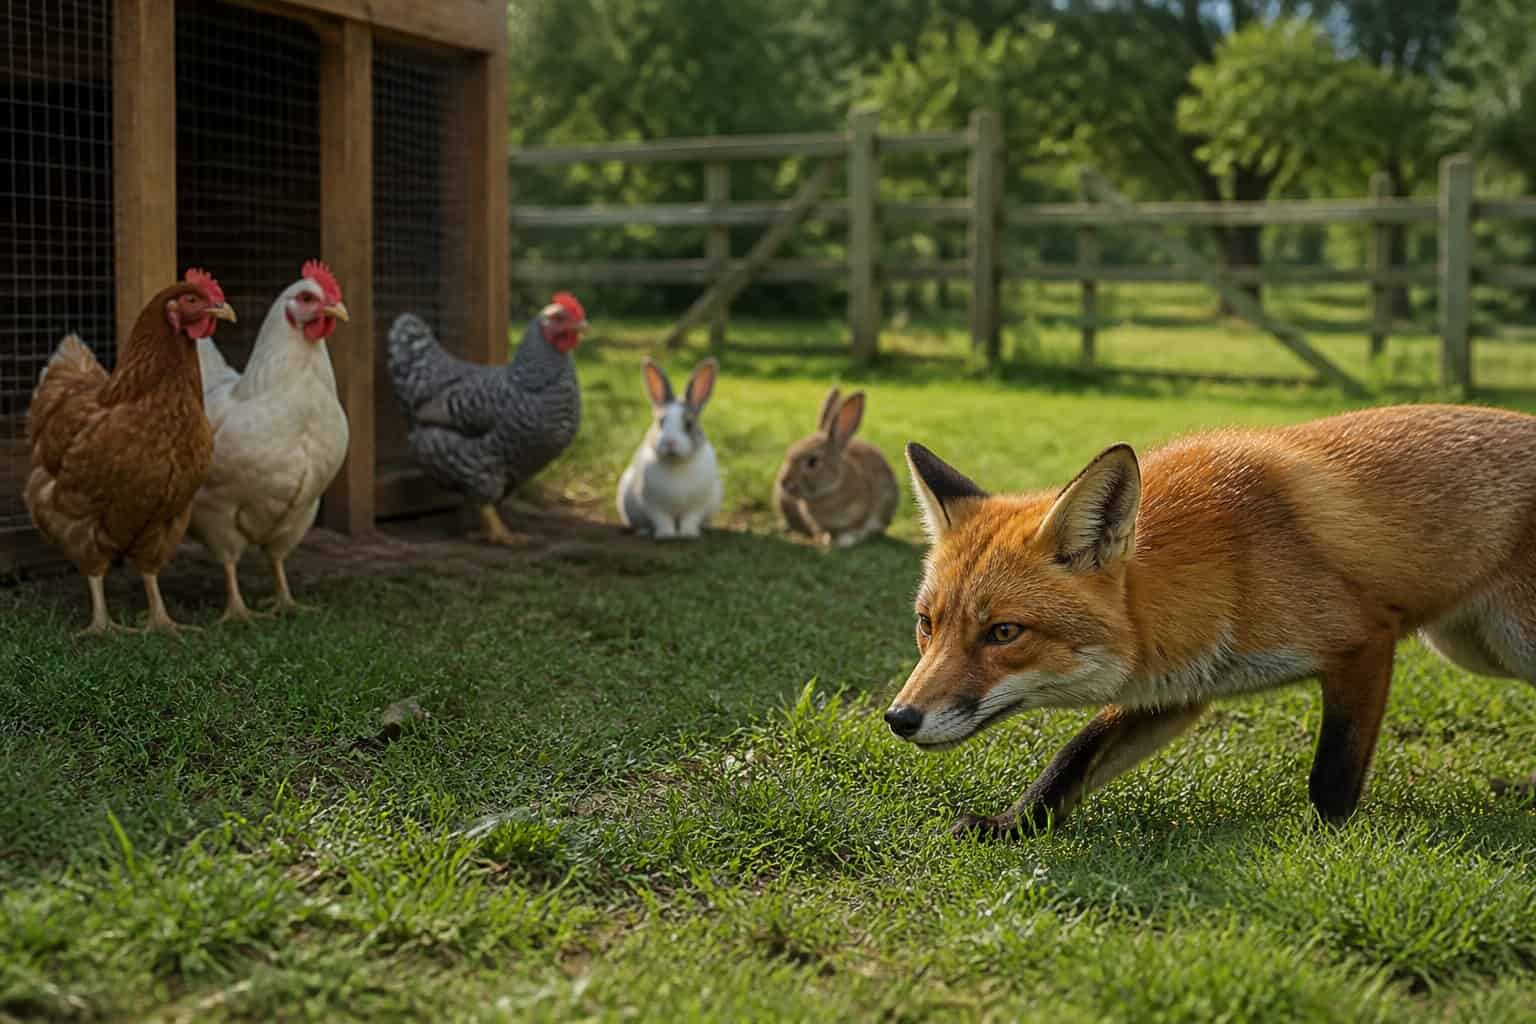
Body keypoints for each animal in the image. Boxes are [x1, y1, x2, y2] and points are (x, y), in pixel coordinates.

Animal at [617, 357, 723, 539]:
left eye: (689, 424)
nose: (670, 443)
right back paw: (643, 531)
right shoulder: (654, 506)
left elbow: (690, 519)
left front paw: (688, 534)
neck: (676, 464)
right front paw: (666, 535)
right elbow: (663, 520)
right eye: (661, 422)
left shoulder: (696, 506)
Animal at [774, 387, 899, 547]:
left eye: (812, 462)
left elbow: (855, 528)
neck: (831, 490)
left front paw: (844, 541)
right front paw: (824, 540)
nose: (783, 482)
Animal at [885, 403, 1536, 839]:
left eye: (1003, 633)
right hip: (1472, 646)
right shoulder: (1175, 688)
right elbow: (1072, 757)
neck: (1230, 565)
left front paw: (1326, 846)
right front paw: (1010, 825)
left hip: (1508, 641)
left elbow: (1331, 776)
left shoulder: (1364, 643)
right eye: (926, 624)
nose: (899, 718)